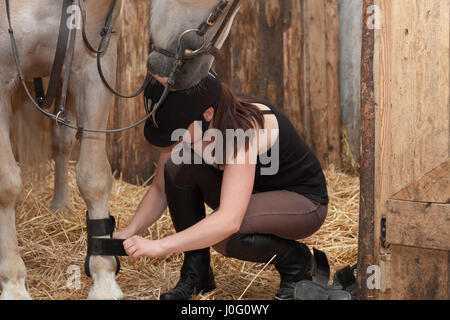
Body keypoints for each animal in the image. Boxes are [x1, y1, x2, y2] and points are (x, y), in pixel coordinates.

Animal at [0, 0, 244, 300]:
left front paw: (104, 280)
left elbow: (94, 178)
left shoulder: (93, 69)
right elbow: (7, 185)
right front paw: (13, 283)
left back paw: (60, 207)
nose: (193, 72)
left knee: (63, 140)